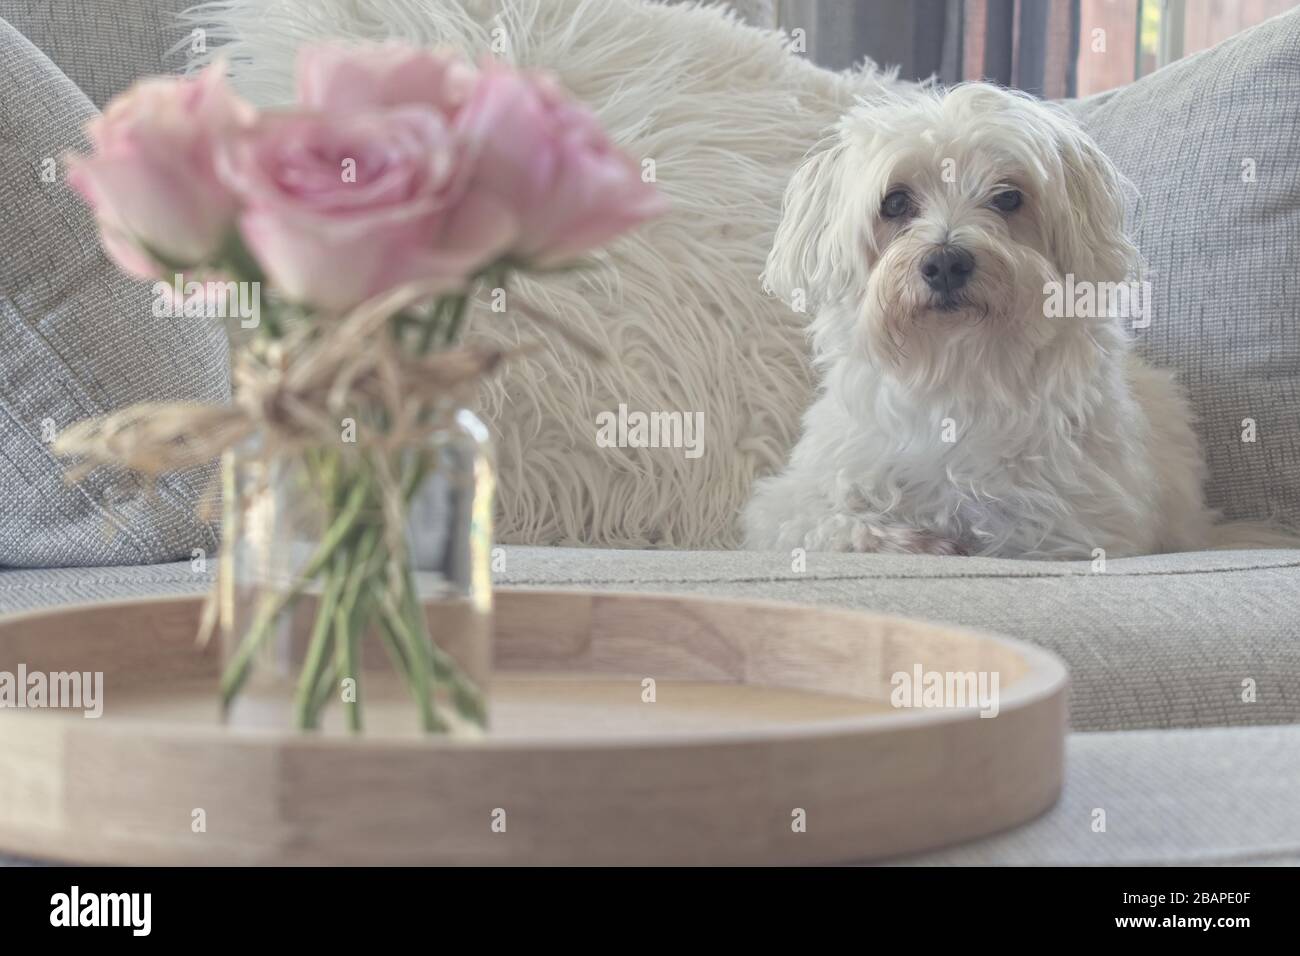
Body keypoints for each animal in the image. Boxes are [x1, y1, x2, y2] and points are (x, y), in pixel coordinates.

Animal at [748, 85, 1274, 561]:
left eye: (1007, 198)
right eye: (895, 203)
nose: (946, 262)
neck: (957, 362)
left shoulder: (1076, 525)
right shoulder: (793, 499)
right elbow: (827, 521)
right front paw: (903, 537)